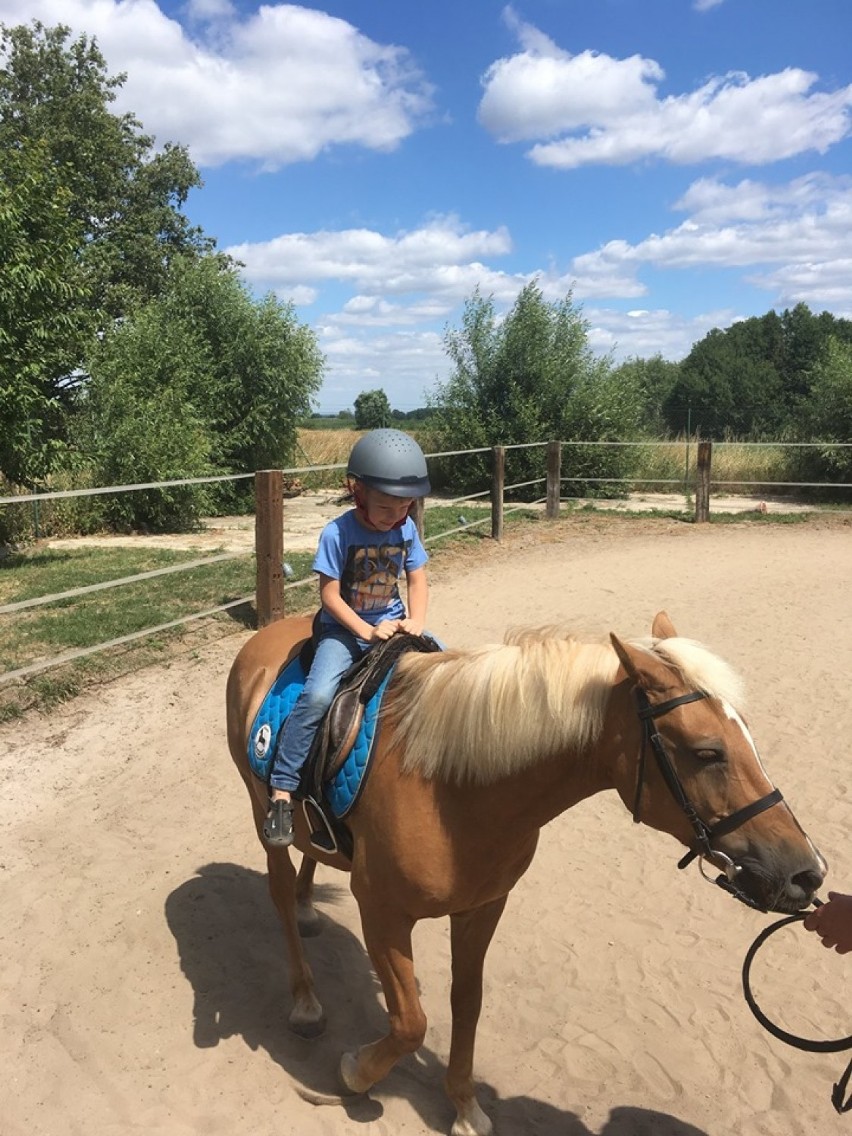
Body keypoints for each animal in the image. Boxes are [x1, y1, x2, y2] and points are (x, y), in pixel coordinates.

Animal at [227, 613, 827, 1136]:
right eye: (708, 752)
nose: (808, 872)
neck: (449, 788)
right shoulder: (382, 913)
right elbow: (410, 1022)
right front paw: (354, 1073)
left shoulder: (484, 907)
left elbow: (466, 1003)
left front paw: (465, 1106)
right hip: (263, 816)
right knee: (279, 890)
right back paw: (305, 1000)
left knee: (312, 855)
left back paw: (309, 907)